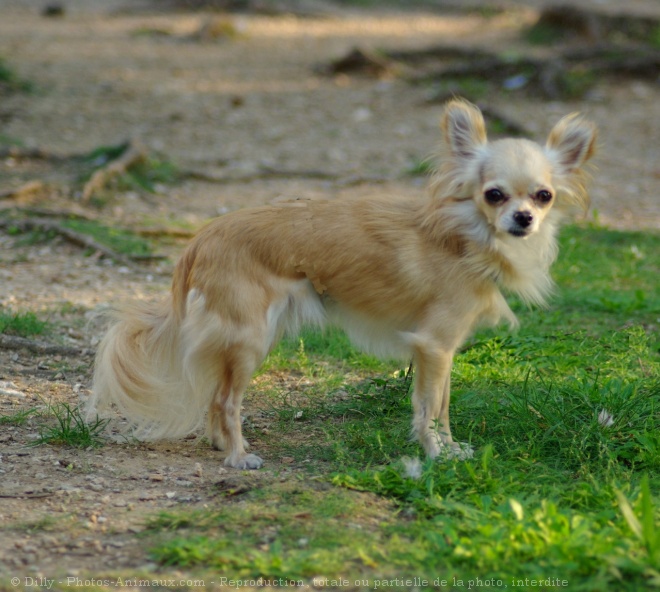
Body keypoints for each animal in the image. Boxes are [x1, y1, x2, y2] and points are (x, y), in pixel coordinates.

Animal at [87, 100, 600, 468]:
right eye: (493, 195)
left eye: (543, 195)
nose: (524, 218)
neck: (466, 237)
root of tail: (201, 239)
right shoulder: (433, 346)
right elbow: (427, 408)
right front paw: (435, 455)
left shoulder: (446, 351)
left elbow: (444, 405)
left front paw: (452, 449)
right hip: (249, 338)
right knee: (227, 400)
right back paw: (237, 456)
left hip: (250, 338)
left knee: (216, 396)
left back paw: (220, 446)